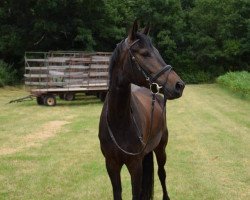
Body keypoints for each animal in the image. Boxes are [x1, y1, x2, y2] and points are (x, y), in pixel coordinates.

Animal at [98, 20, 185, 200]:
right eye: (145, 53)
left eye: (157, 52)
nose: (179, 85)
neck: (120, 121)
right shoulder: (111, 165)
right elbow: (118, 192)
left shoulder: (135, 165)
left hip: (161, 148)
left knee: (162, 173)